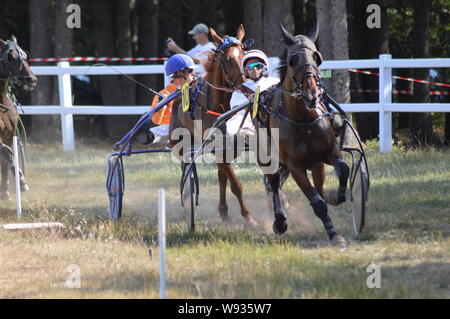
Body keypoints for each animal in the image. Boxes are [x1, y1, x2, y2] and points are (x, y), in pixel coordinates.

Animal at [170, 25, 260, 230]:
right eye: (226, 59)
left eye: (243, 54)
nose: (245, 84)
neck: (215, 104)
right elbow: (235, 184)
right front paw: (248, 217)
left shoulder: (225, 147)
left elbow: (226, 179)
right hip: (180, 143)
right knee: (186, 169)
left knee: (221, 176)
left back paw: (223, 211)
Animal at [255, 23, 350, 248]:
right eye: (293, 59)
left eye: (317, 57)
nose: (311, 94)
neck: (304, 119)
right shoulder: (295, 166)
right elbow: (317, 203)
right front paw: (334, 235)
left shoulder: (328, 153)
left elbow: (343, 169)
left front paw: (336, 196)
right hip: (268, 159)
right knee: (274, 185)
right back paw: (279, 221)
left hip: (316, 165)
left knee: (318, 184)